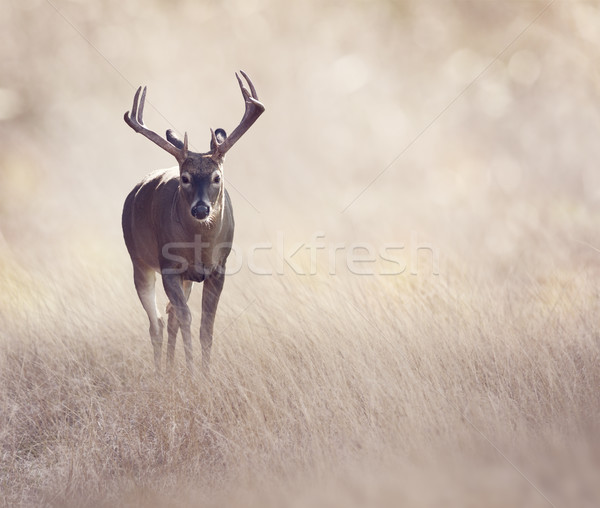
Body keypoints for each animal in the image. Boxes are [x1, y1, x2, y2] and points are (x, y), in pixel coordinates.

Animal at [120, 71, 264, 374]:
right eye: (185, 178)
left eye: (217, 177)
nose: (200, 208)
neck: (200, 248)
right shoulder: (169, 267)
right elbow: (186, 318)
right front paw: (191, 372)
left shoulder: (219, 269)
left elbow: (205, 326)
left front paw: (204, 374)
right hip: (139, 261)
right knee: (156, 323)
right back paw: (162, 373)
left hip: (185, 277)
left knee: (169, 316)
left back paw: (170, 368)